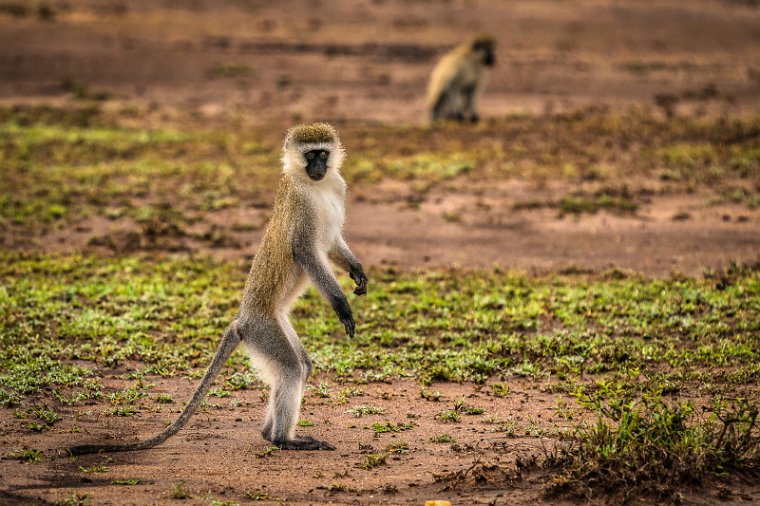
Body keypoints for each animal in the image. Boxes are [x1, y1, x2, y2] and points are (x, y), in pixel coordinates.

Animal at [70, 123, 366, 454]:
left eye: (323, 154)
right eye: (310, 155)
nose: (318, 167)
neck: (316, 186)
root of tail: (242, 319)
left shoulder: (338, 185)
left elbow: (332, 243)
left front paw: (357, 271)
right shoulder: (300, 205)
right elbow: (305, 251)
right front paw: (340, 305)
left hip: (273, 324)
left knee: (301, 365)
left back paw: (269, 433)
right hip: (262, 329)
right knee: (291, 368)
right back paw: (282, 440)